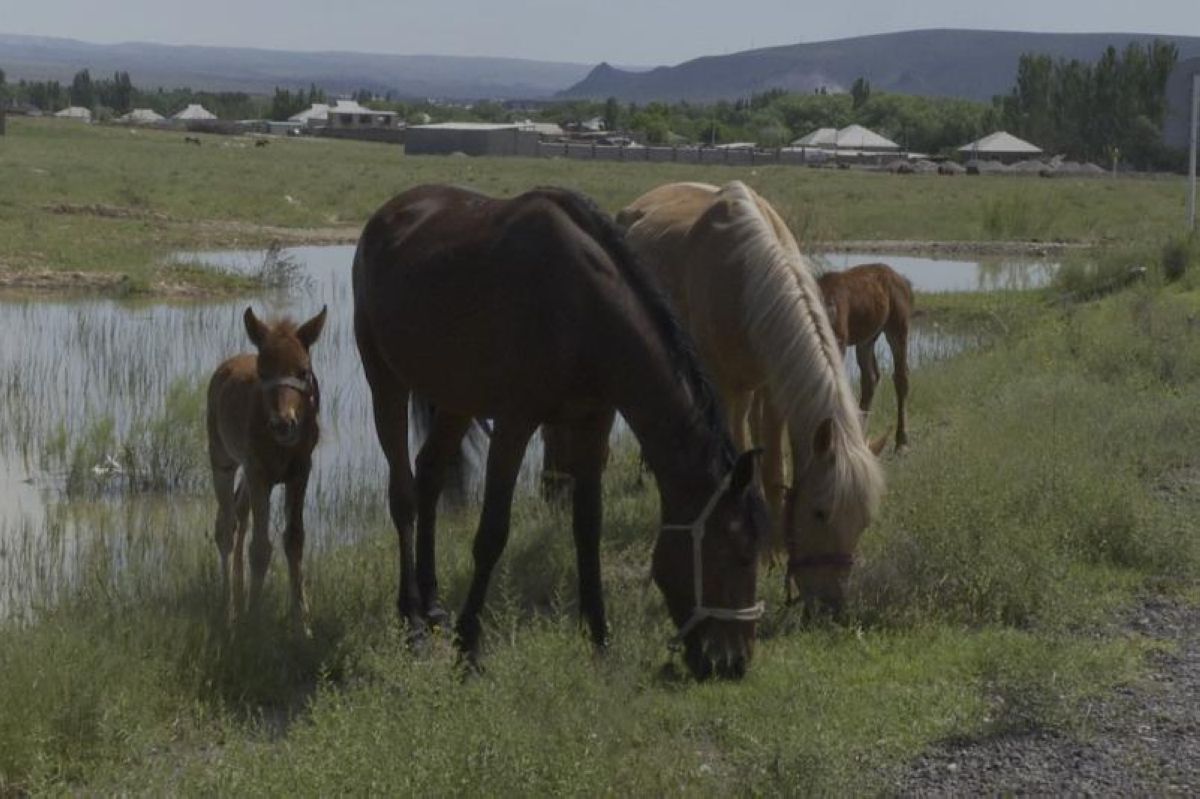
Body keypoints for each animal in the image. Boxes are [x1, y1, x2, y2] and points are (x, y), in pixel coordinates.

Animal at [207, 307, 328, 633]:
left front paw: (303, 622)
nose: (283, 423)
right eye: (263, 372)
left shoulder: (300, 471)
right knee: (226, 526)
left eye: (303, 371)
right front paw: (253, 620)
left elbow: (294, 540)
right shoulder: (258, 472)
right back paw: (228, 604)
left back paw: (239, 592)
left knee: (239, 511)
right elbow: (260, 548)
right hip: (223, 460)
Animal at [352, 183, 768, 676]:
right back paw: (413, 619)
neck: (581, 307)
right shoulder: (514, 424)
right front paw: (469, 648)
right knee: (404, 496)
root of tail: (387, 215)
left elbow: (587, 526)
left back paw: (433, 605)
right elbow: (492, 534)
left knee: (430, 474)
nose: (732, 662)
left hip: (456, 399)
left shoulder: (592, 420)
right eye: (736, 555)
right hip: (386, 382)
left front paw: (599, 636)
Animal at [614, 183, 888, 611]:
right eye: (819, 513)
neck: (744, 277)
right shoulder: (731, 389)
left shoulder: (773, 387)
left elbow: (773, 466)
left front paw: (775, 549)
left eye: (863, 522)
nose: (831, 608)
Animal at [820, 261, 912, 448]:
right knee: (871, 378)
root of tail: (903, 280)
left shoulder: (839, 342)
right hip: (867, 339)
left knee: (901, 377)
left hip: (898, 327)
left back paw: (902, 441)